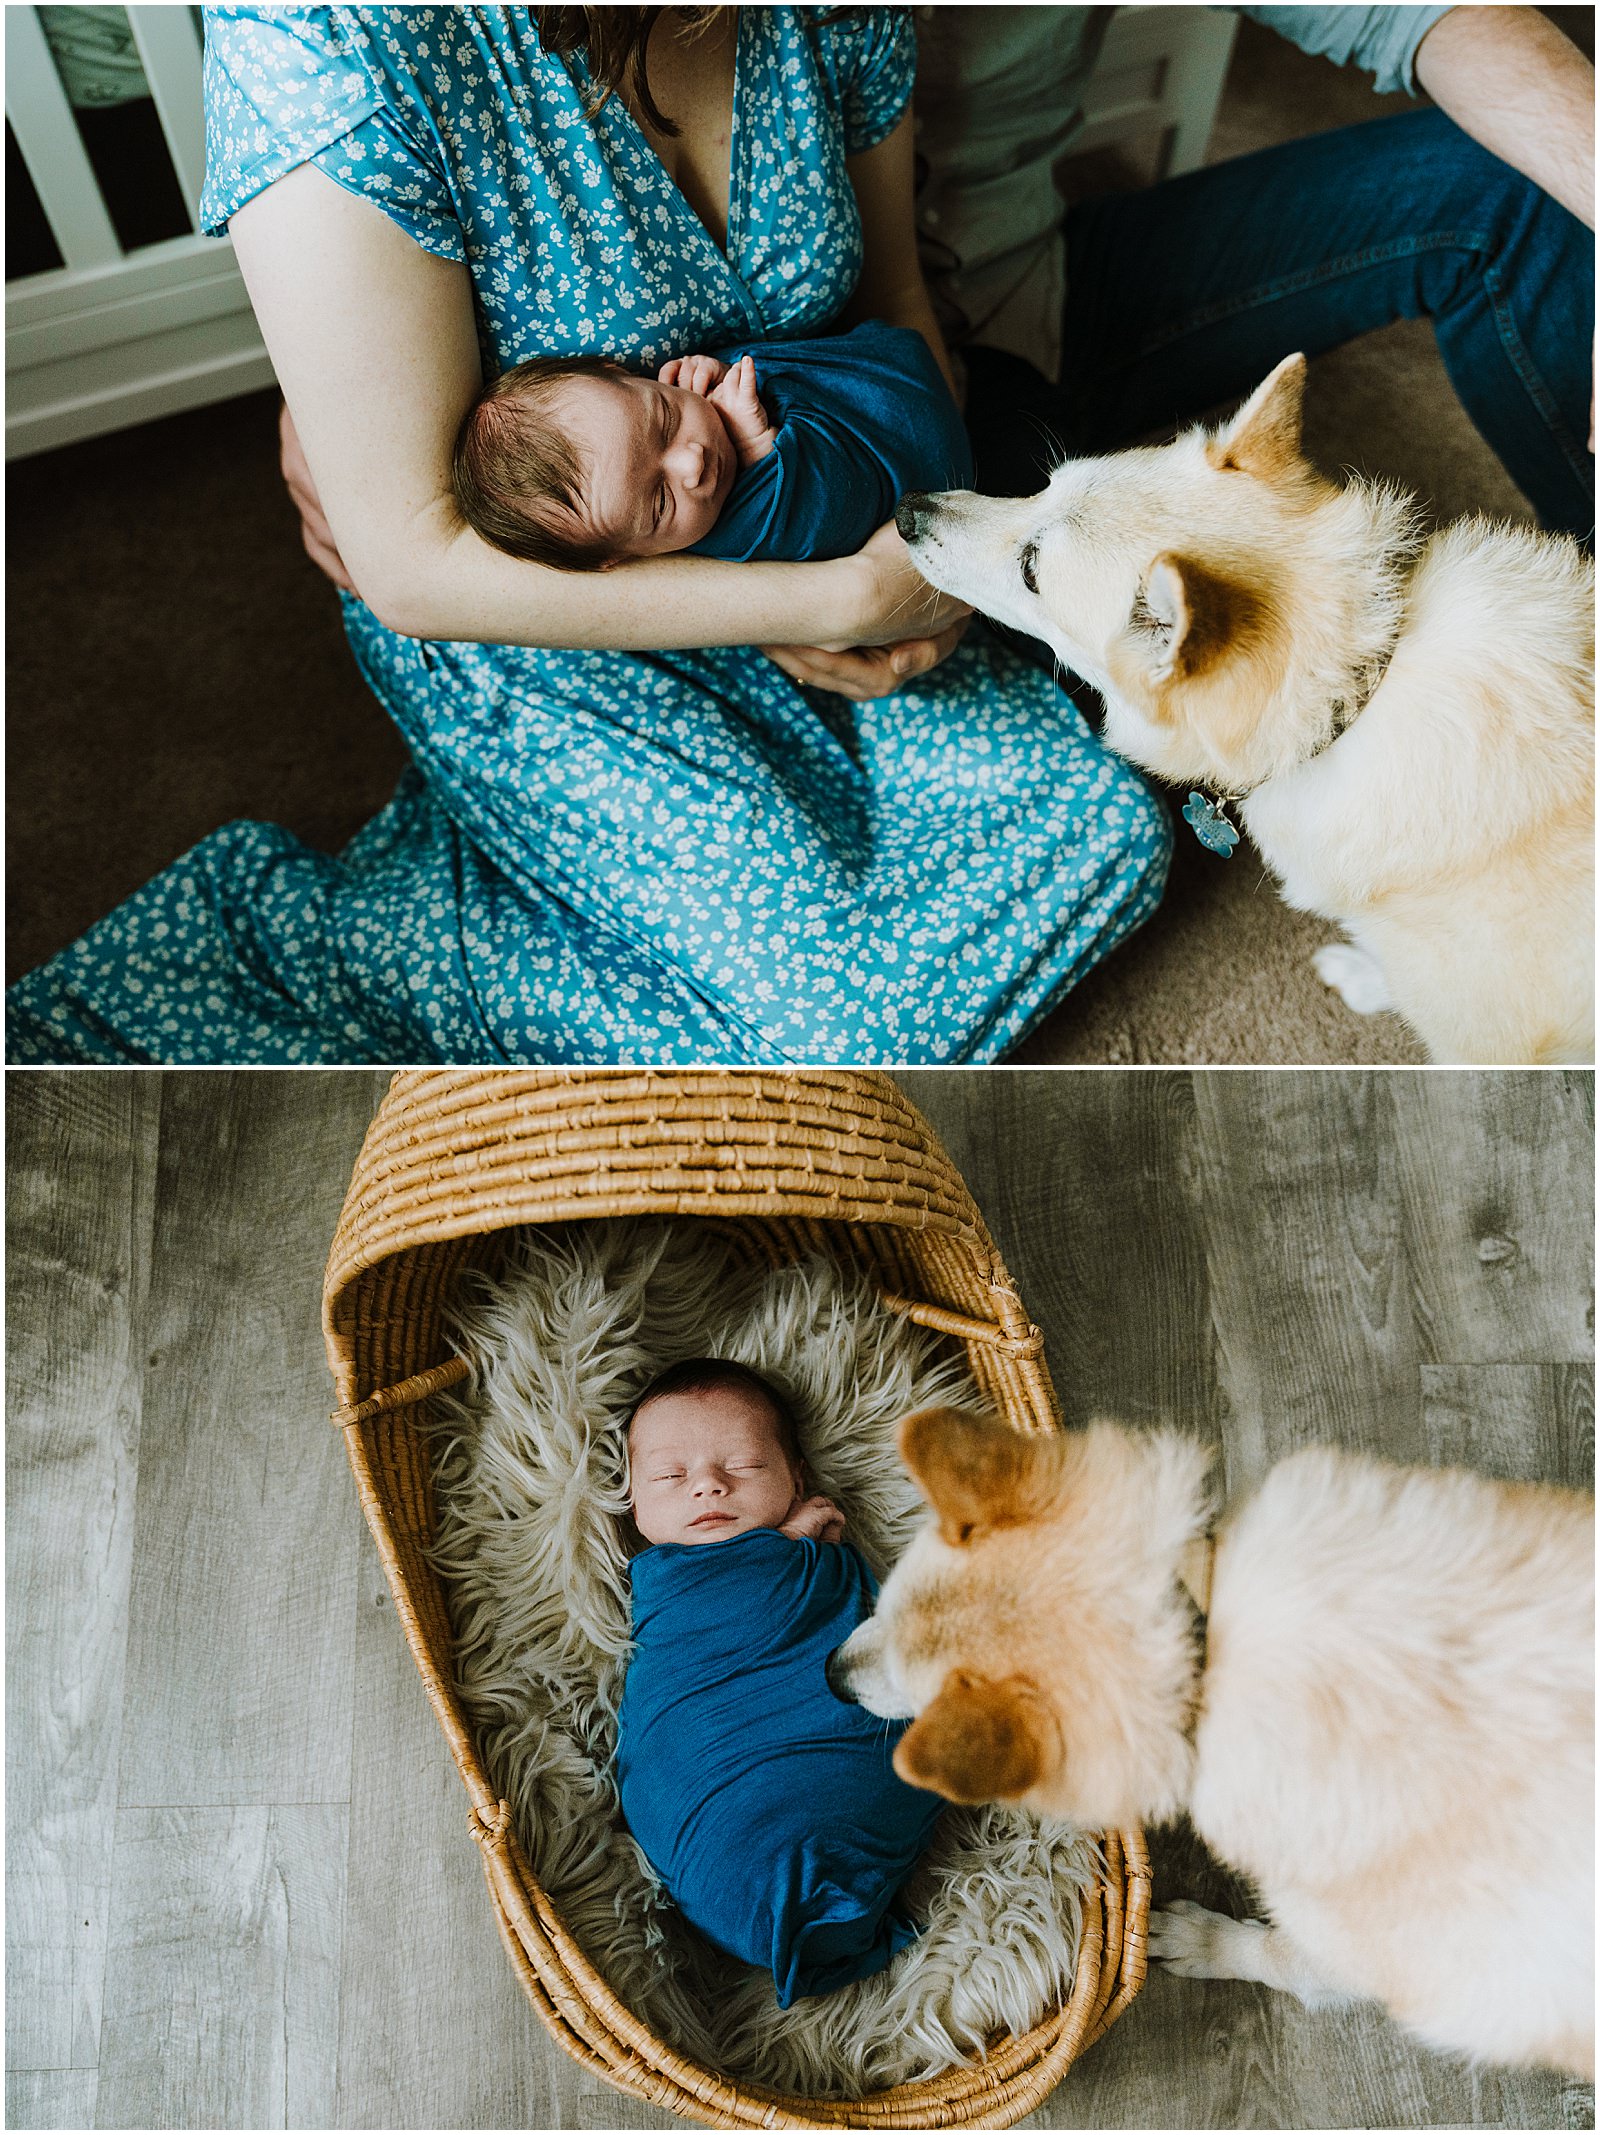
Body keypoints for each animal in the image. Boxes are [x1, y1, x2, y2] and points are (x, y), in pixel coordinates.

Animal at [828, 1417, 1589, 2083]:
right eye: (882, 1603)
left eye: (919, 1698)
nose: (832, 1674)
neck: (1207, 1652)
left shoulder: (1364, 1950)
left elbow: (1280, 1953)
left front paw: (1208, 1943)